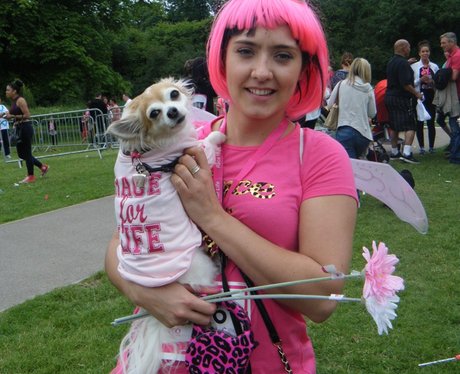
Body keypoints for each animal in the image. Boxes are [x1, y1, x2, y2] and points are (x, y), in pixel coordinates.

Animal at [106, 77, 225, 372]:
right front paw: (219, 135)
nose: (172, 111)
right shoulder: (188, 155)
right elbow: (206, 144)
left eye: (173, 95)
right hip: (199, 264)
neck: (141, 151)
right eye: (154, 114)